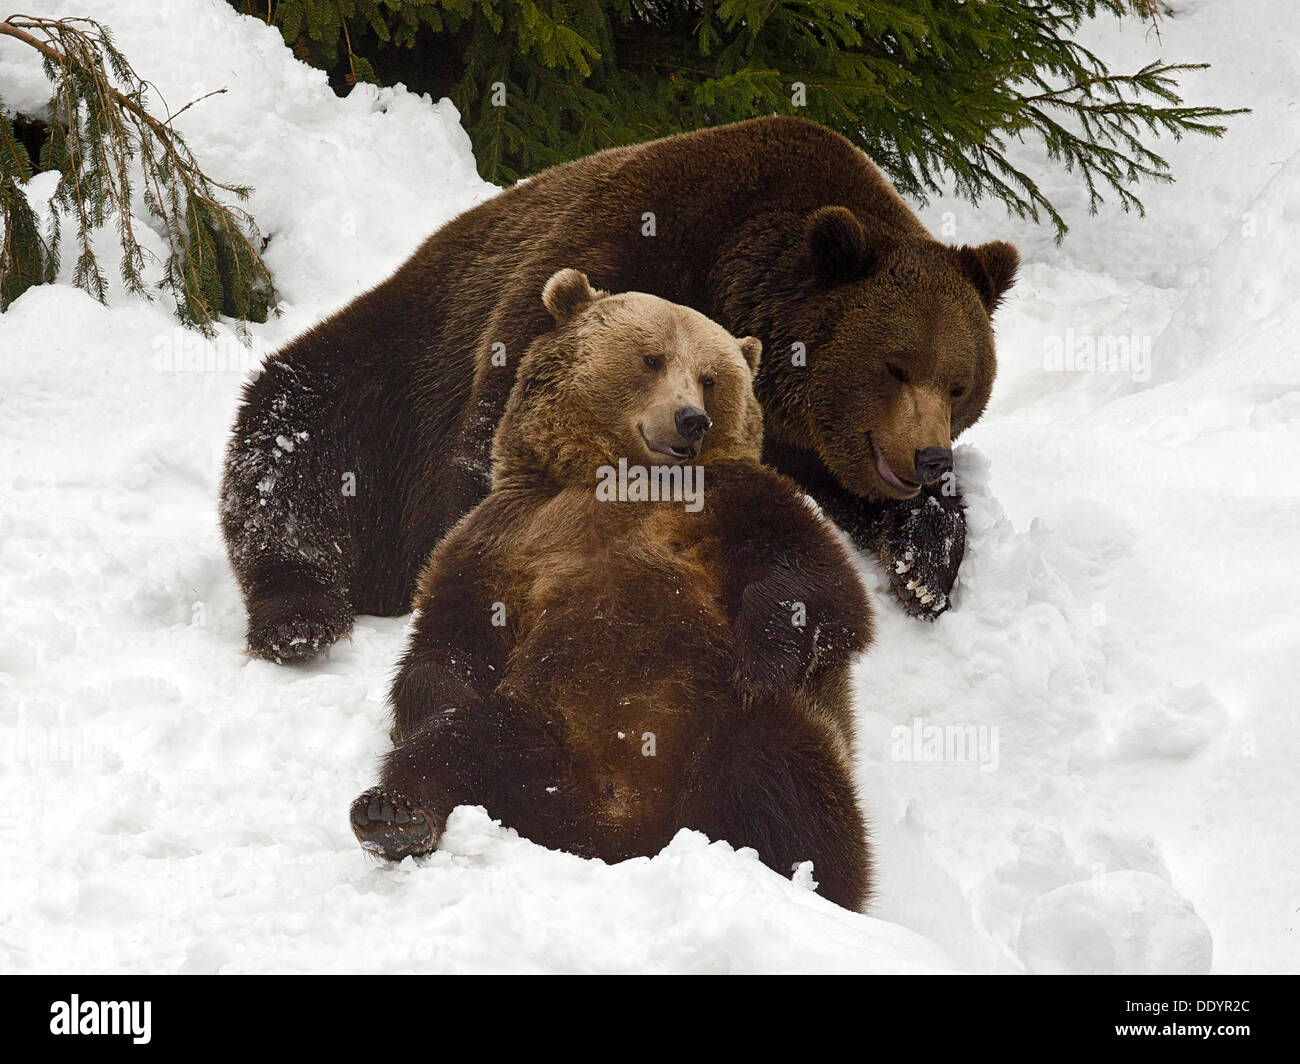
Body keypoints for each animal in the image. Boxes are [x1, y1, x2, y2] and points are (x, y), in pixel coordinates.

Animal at [220, 109, 1013, 655]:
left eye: (960, 384)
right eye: (895, 365)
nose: (928, 456)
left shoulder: (805, 444)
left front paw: (924, 566)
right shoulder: (620, 250)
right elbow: (492, 451)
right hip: (391, 372)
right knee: (293, 448)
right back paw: (299, 616)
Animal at [348, 269, 873, 910]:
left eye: (711, 377)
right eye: (652, 358)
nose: (692, 419)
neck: (620, 476)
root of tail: (621, 832)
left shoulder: (729, 501)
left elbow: (817, 581)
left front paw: (763, 658)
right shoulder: (506, 531)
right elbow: (451, 641)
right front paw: (435, 700)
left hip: (725, 728)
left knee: (780, 772)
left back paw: (798, 878)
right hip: (543, 734)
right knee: (461, 745)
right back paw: (392, 815)